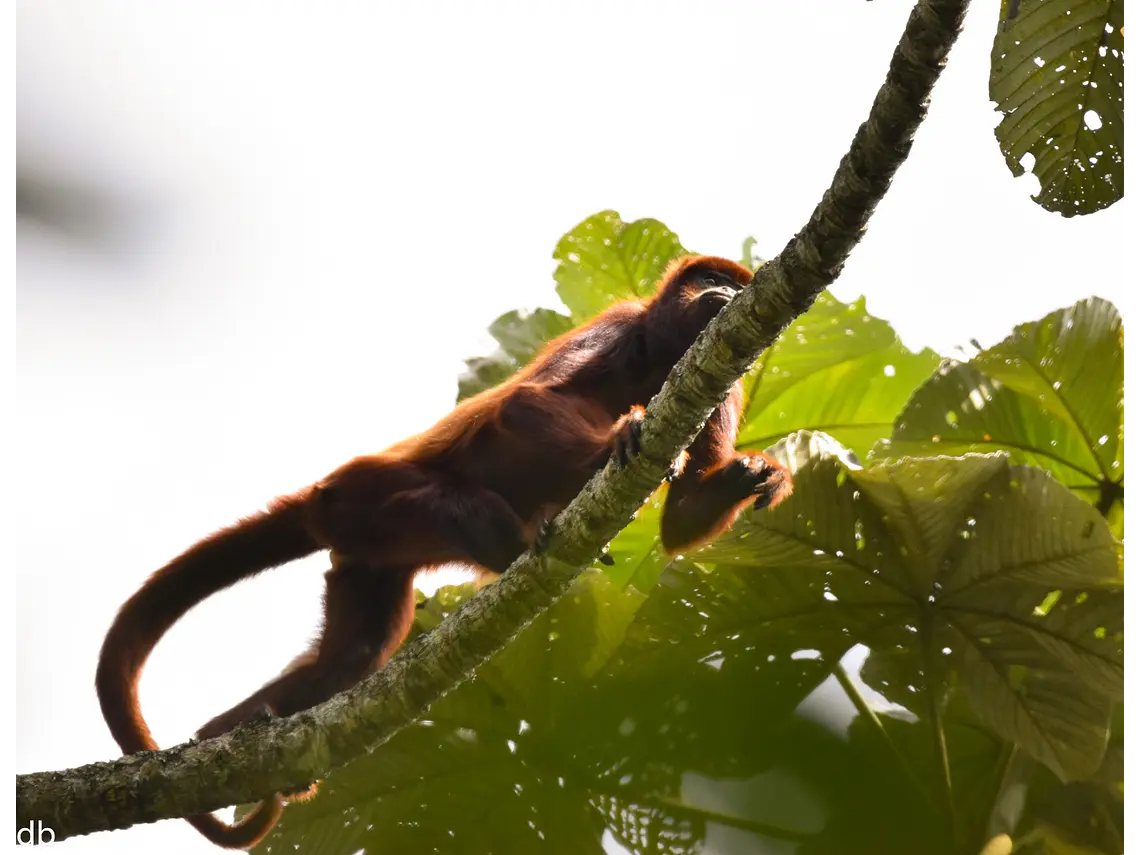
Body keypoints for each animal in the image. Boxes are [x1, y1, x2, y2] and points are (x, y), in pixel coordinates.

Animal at [94, 255, 794, 849]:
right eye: (710, 277)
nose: (724, 293)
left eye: (734, 283)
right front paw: (618, 440)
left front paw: (751, 476)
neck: (666, 357)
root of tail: (325, 497)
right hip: (373, 494)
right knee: (458, 505)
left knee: (349, 659)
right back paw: (515, 546)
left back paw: (225, 737)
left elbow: (677, 526)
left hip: (367, 560)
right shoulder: (620, 325)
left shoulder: (725, 378)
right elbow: (528, 401)